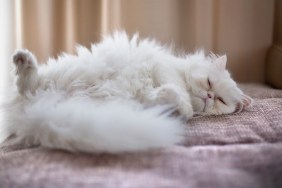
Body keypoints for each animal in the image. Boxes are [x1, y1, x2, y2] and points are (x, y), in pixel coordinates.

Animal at [0, 32, 251, 153]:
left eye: (221, 101)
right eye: (209, 83)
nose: (209, 97)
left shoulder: (147, 95)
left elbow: (163, 95)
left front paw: (180, 107)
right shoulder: (165, 67)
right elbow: (176, 86)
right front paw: (185, 106)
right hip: (64, 74)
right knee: (26, 85)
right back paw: (23, 59)